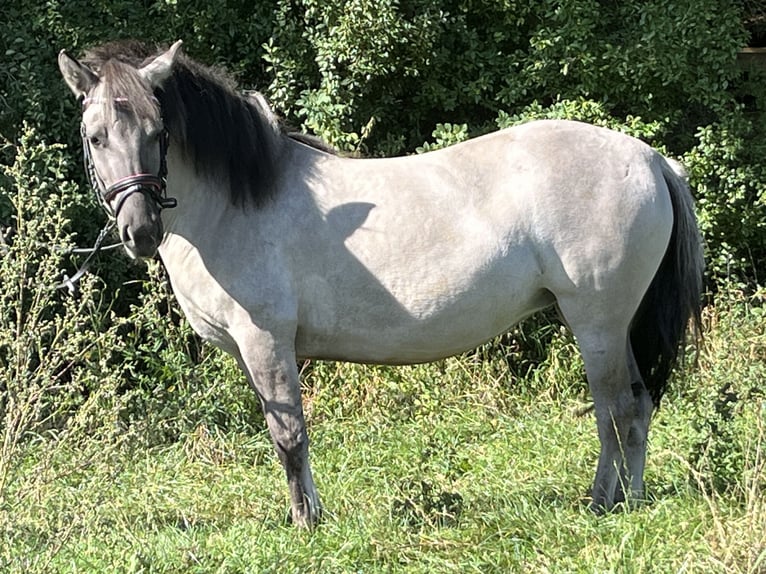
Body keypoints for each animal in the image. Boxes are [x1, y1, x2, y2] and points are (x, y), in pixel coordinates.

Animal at [60, 38, 704, 528]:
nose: (140, 231)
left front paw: (305, 523)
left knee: (615, 408)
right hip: (615, 325)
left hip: (598, 321)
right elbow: (285, 432)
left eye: (158, 131)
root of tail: (652, 159)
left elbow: (289, 435)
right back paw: (627, 501)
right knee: (637, 405)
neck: (233, 206)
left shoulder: (267, 342)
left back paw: (603, 504)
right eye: (95, 136)